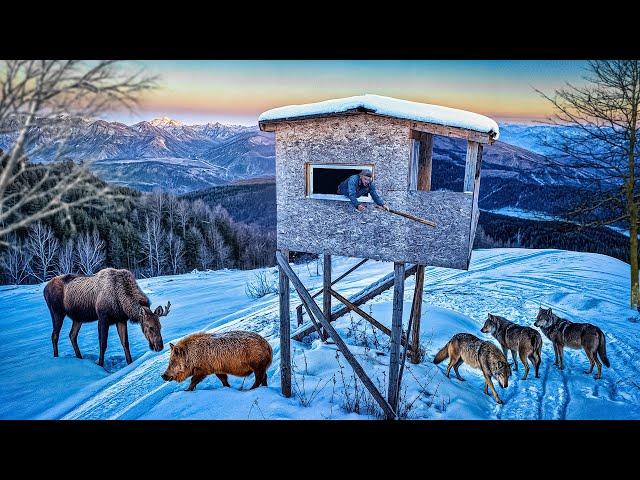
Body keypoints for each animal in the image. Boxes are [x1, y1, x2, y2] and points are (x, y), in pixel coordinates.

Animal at [43, 266, 171, 368]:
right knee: (55, 335)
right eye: (150, 327)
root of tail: (44, 289)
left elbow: (125, 343)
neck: (122, 302)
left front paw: (130, 363)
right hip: (57, 312)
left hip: (78, 318)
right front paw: (100, 365)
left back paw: (80, 358)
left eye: (160, 326)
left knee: (72, 335)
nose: (159, 346)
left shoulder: (121, 320)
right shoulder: (103, 318)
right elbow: (103, 344)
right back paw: (56, 358)